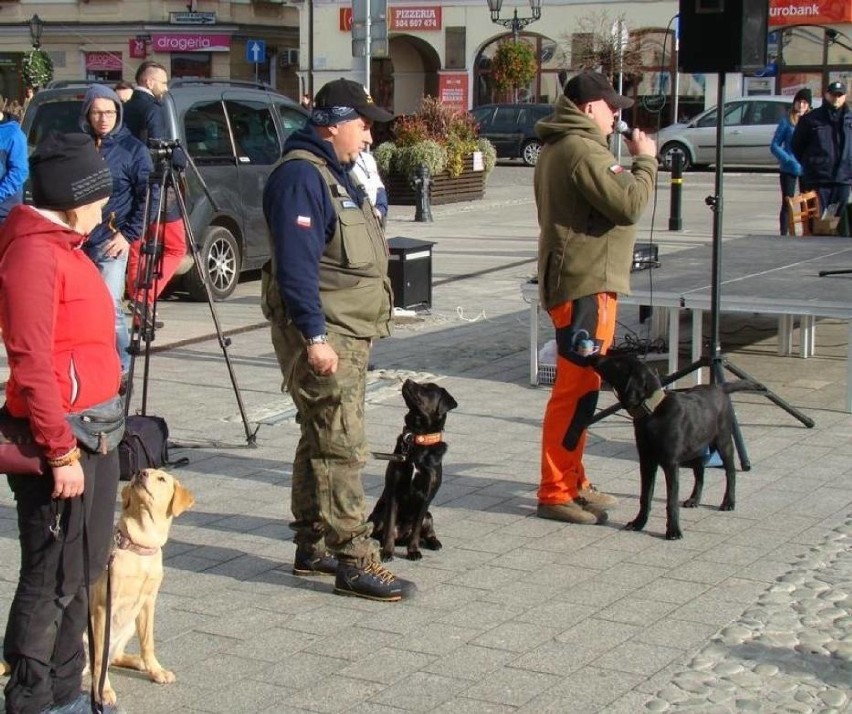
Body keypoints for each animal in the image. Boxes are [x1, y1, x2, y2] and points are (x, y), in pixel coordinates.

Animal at [90, 464, 196, 704]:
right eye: (144, 471)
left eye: (161, 478)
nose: (140, 473)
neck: (139, 545)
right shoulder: (102, 606)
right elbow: (99, 657)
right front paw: (104, 690)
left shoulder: (148, 602)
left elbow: (148, 642)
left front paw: (156, 670)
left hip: (128, 624)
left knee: (114, 655)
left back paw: (137, 661)